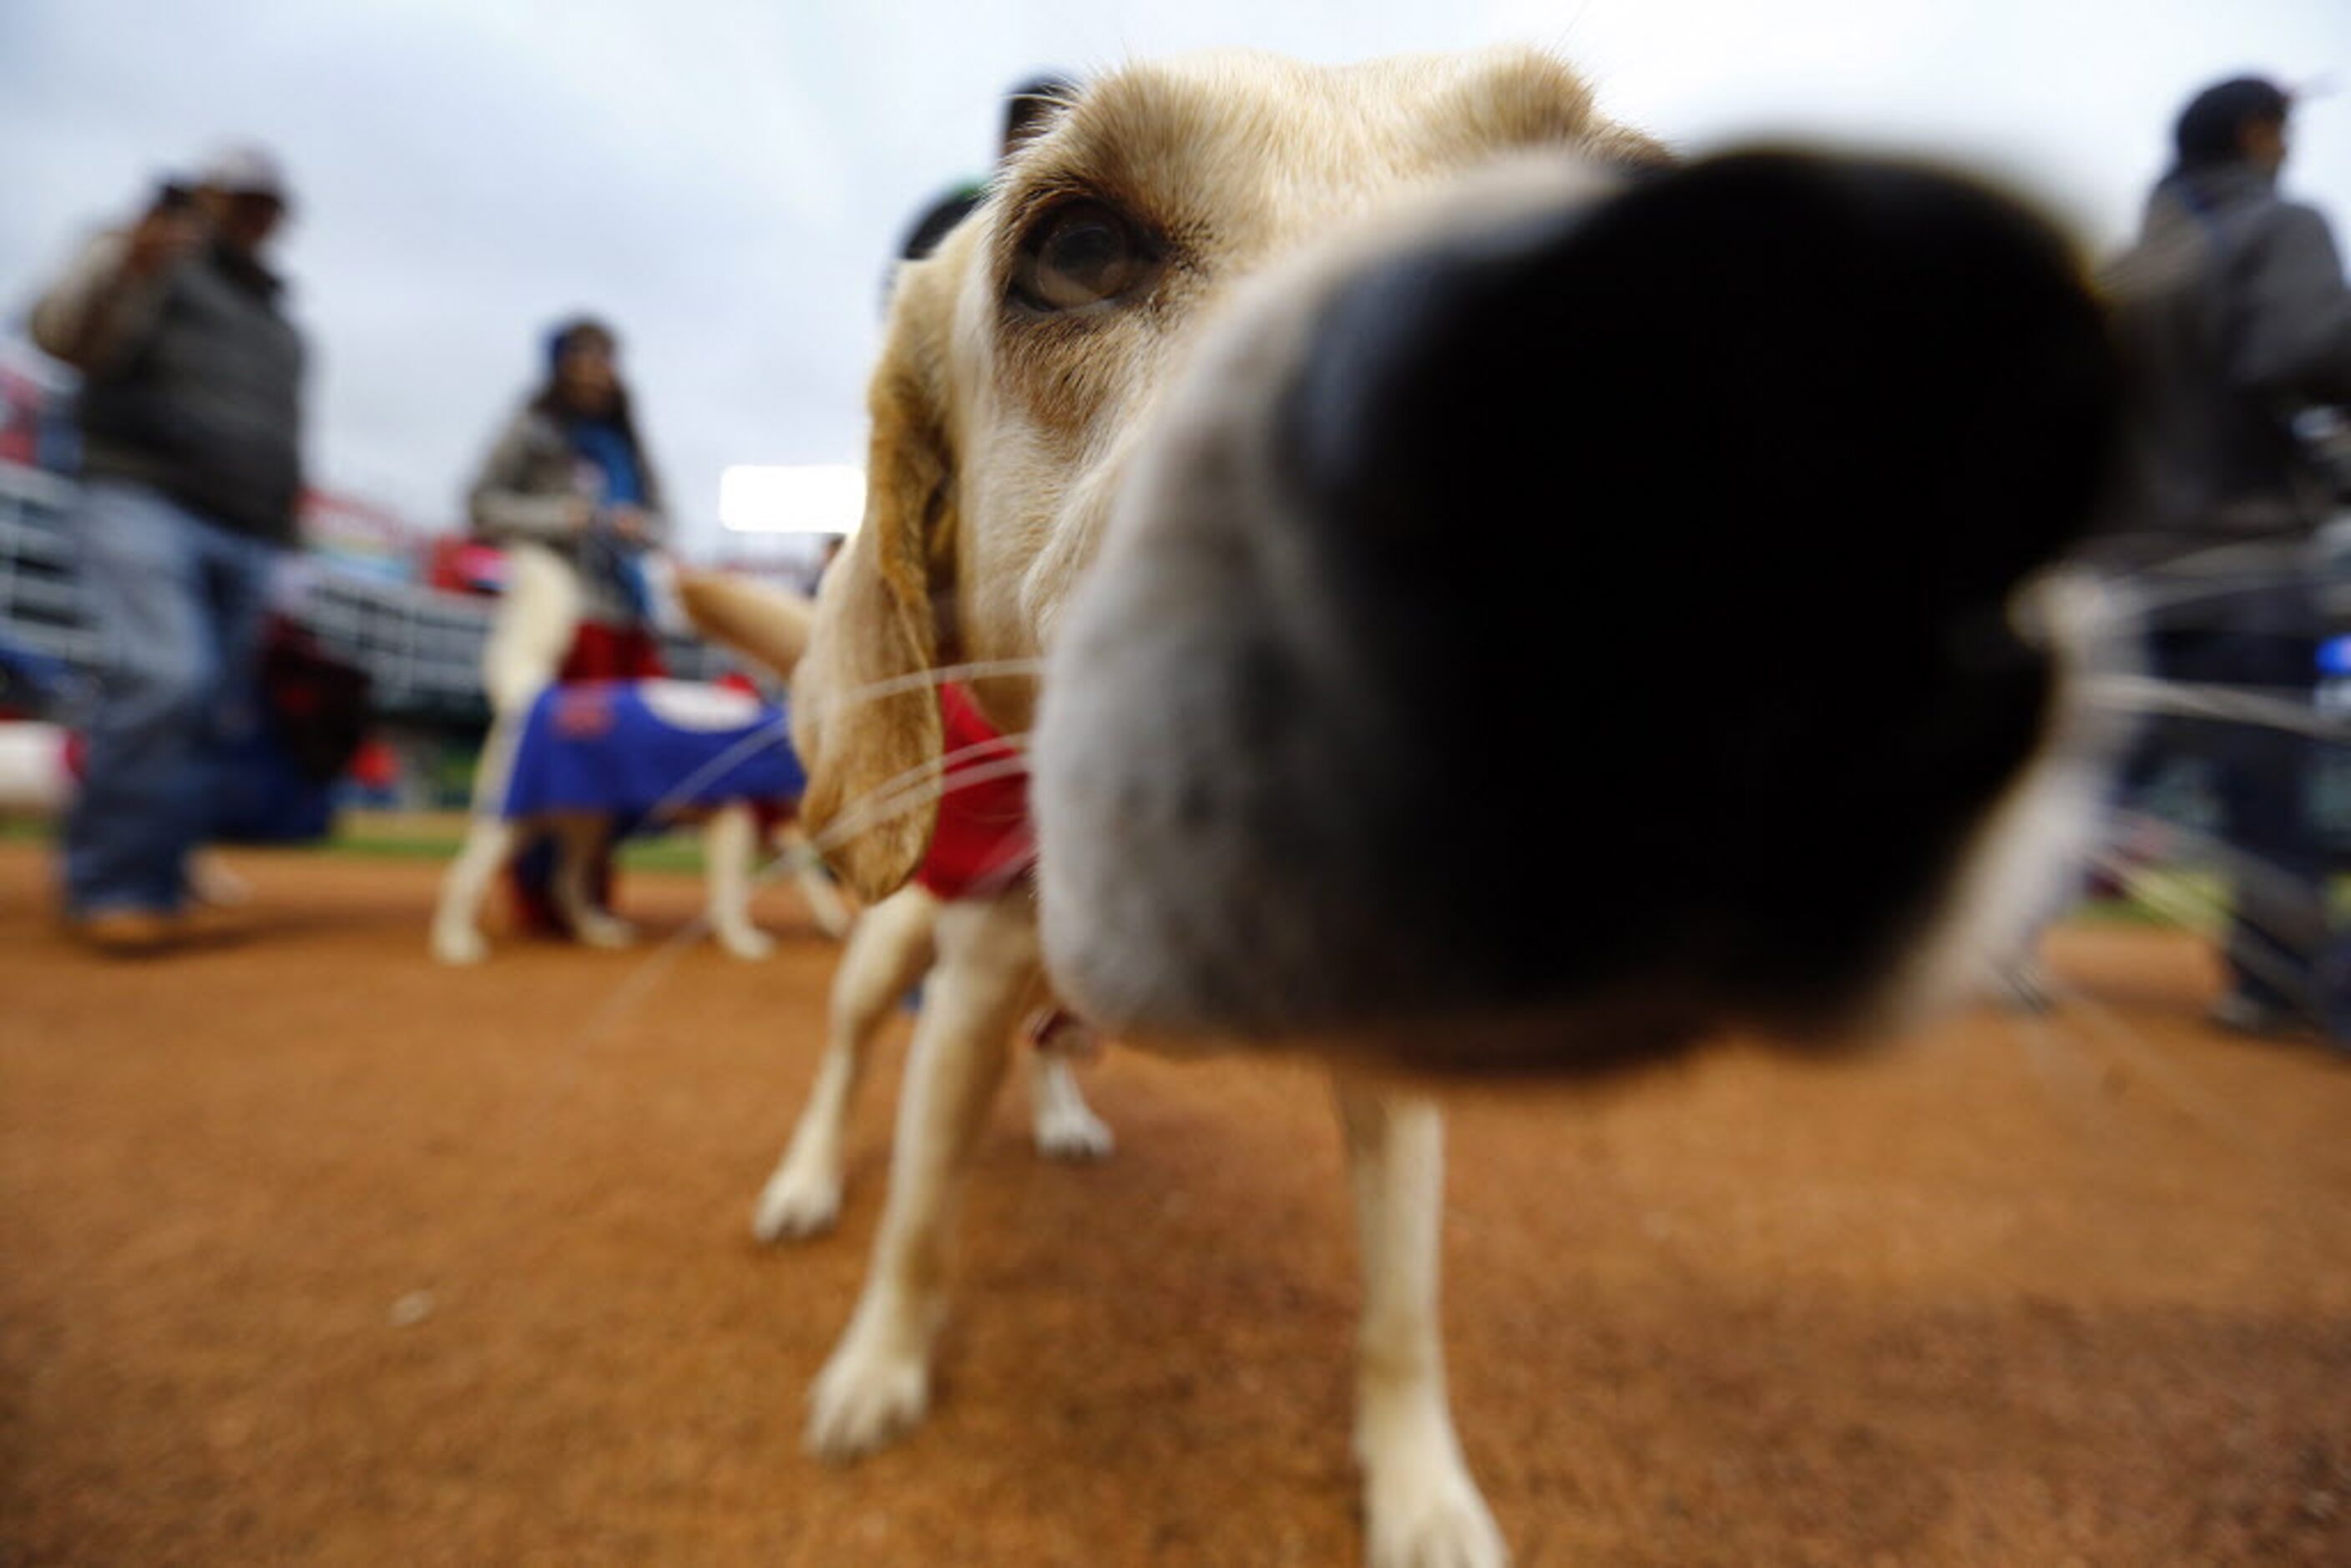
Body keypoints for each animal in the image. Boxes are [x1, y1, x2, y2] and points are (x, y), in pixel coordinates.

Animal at [780, 43, 2125, 1560]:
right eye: (1074, 251)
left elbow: (1403, 1310)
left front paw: (1421, 1489)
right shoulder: (962, 997)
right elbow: (917, 1221)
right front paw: (880, 1362)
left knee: (1060, 1045)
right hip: (891, 944)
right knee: (846, 1061)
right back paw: (806, 1179)